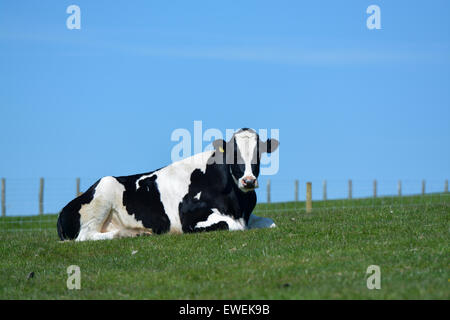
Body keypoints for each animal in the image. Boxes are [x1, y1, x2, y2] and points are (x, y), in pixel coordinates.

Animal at [56, 127, 278, 240]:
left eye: (259, 153)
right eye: (233, 154)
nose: (248, 180)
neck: (238, 205)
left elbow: (271, 222)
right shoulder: (189, 217)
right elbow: (231, 225)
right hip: (104, 191)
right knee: (86, 235)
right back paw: (128, 233)